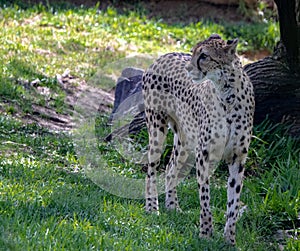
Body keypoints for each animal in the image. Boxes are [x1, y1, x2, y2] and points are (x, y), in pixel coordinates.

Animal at [142, 34, 254, 244]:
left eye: (204, 56)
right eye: (193, 52)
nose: (188, 68)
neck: (227, 94)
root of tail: (162, 56)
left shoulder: (238, 157)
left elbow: (233, 202)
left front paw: (230, 239)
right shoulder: (204, 154)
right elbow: (205, 196)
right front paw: (206, 233)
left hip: (185, 139)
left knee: (170, 168)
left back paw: (173, 206)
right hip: (157, 130)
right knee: (151, 170)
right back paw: (152, 208)